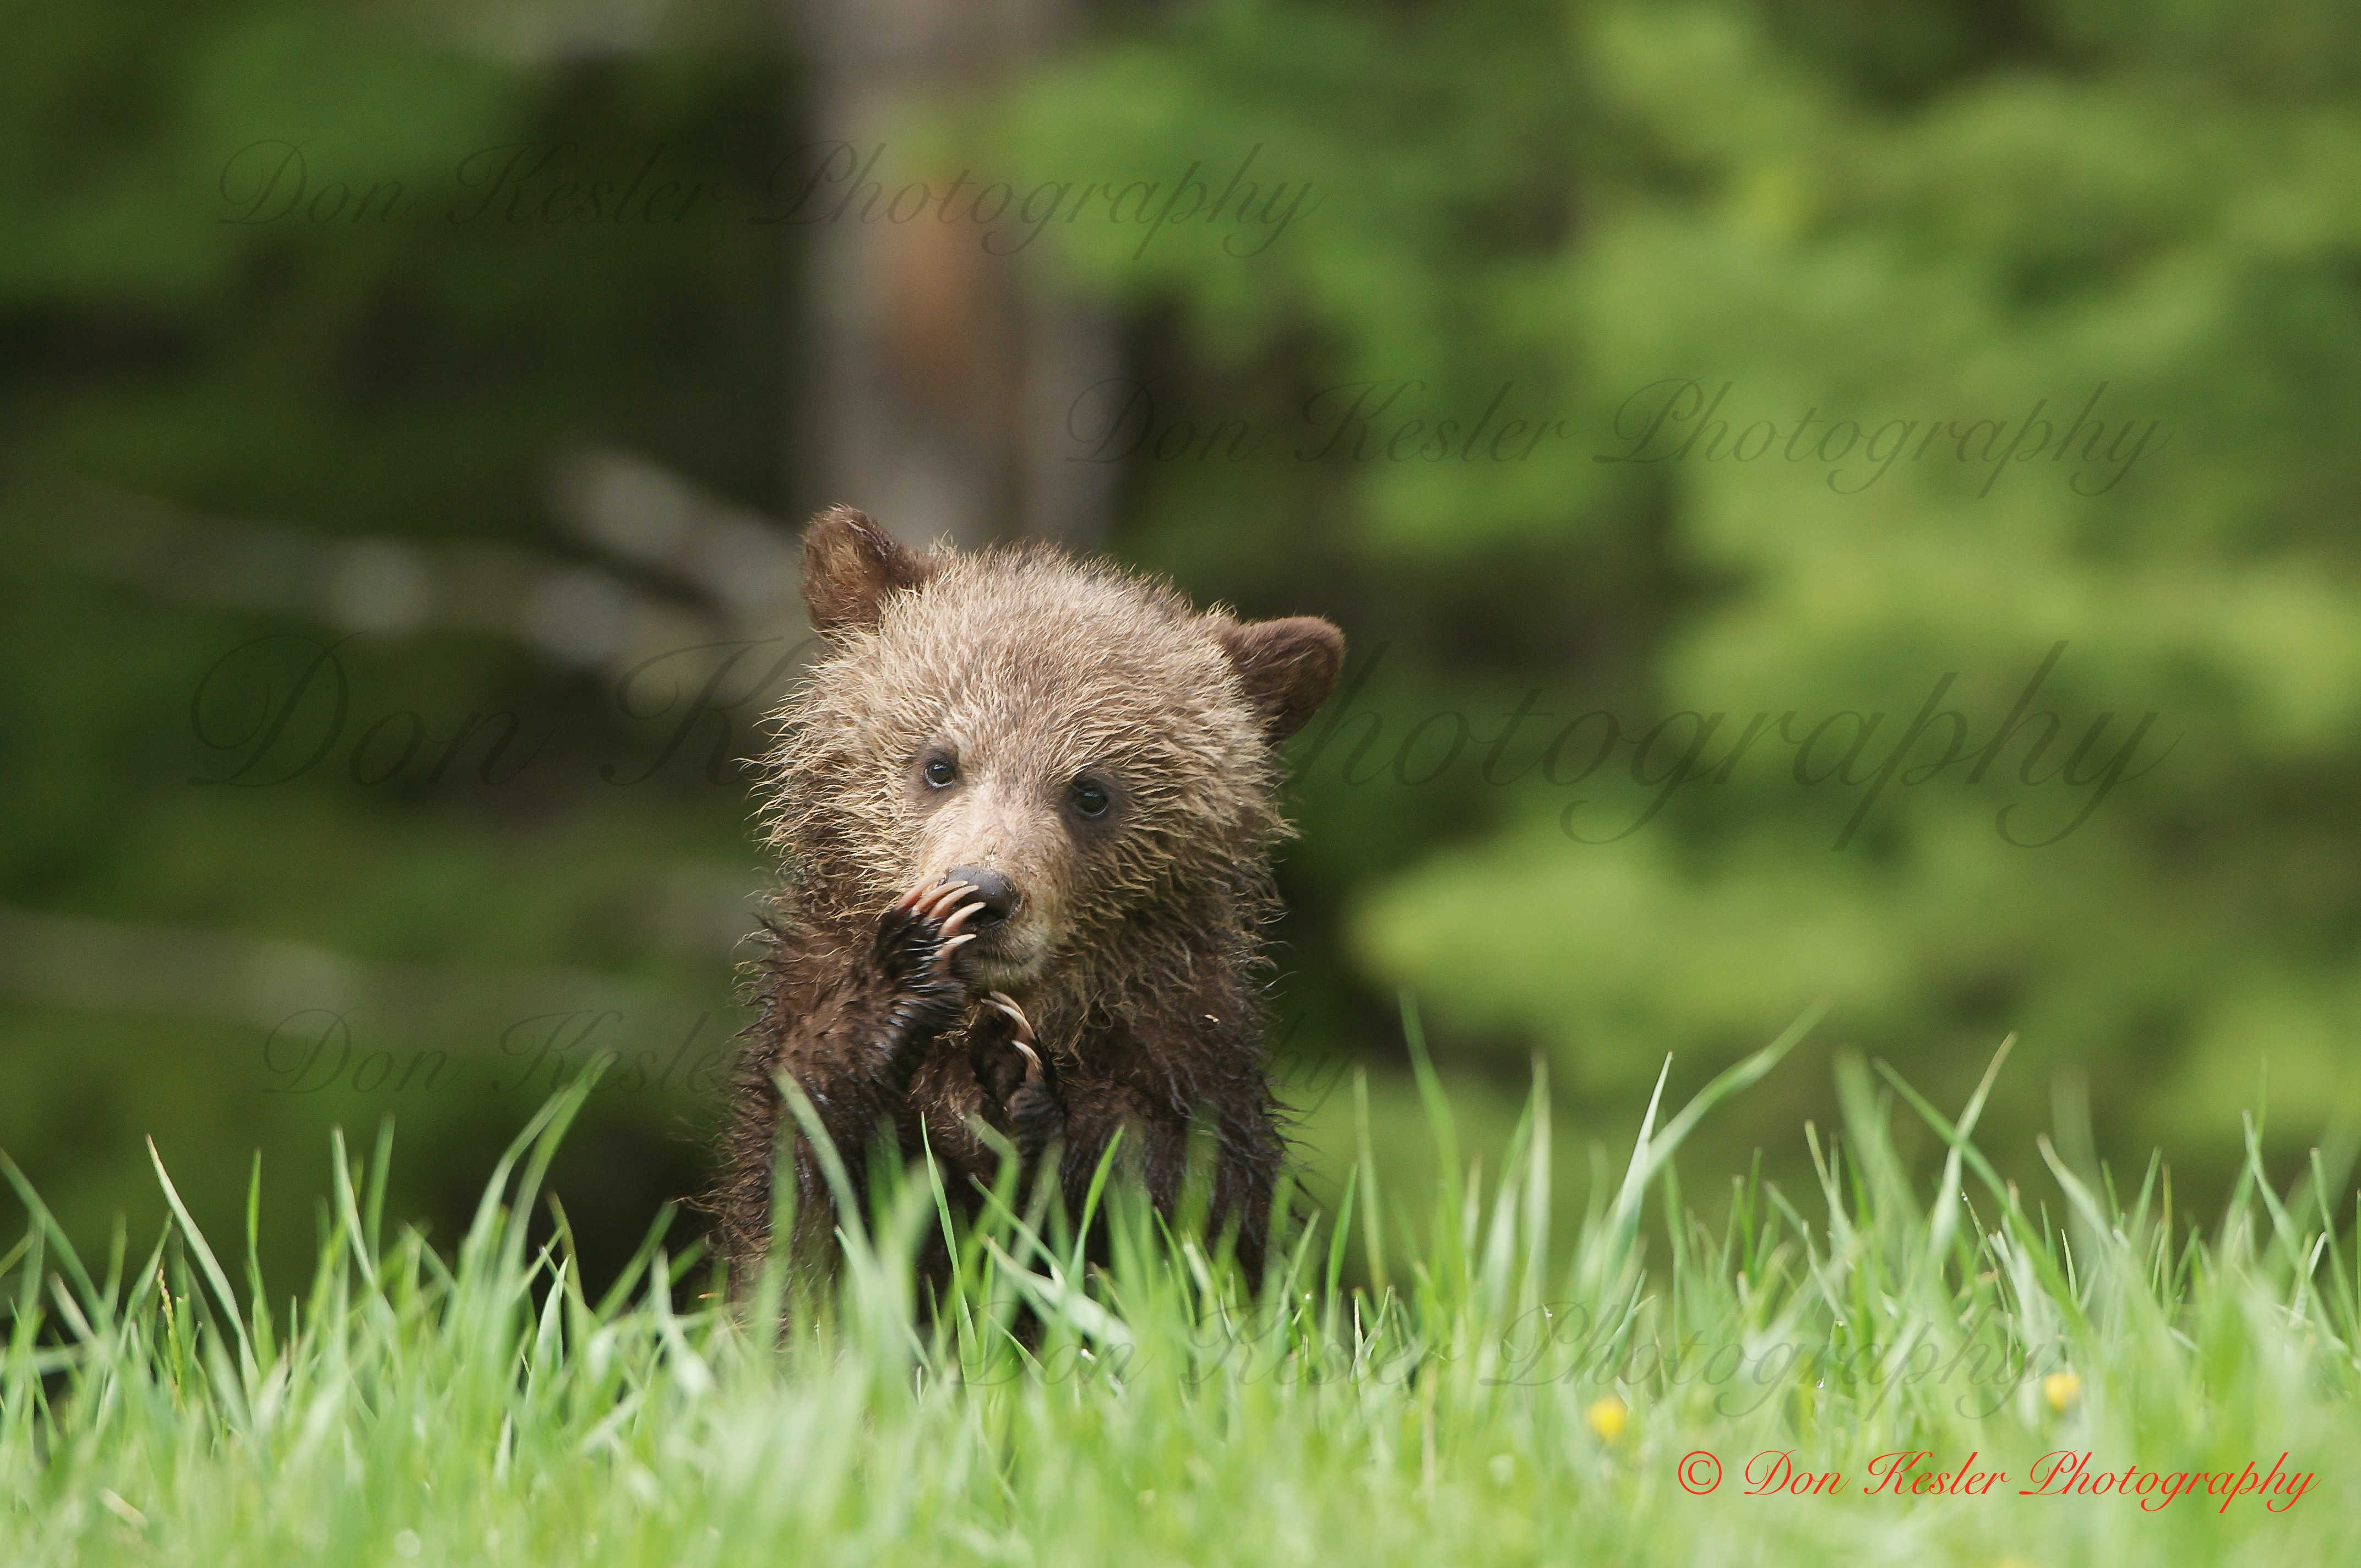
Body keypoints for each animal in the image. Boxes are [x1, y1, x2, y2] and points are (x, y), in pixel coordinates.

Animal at [709, 505, 1344, 1300]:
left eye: (1092, 791)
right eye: (939, 763)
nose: (982, 894)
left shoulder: (1190, 1046)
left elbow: (1203, 1209)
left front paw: (1023, 1087)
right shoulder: (807, 999)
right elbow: (804, 1206)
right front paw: (910, 974)